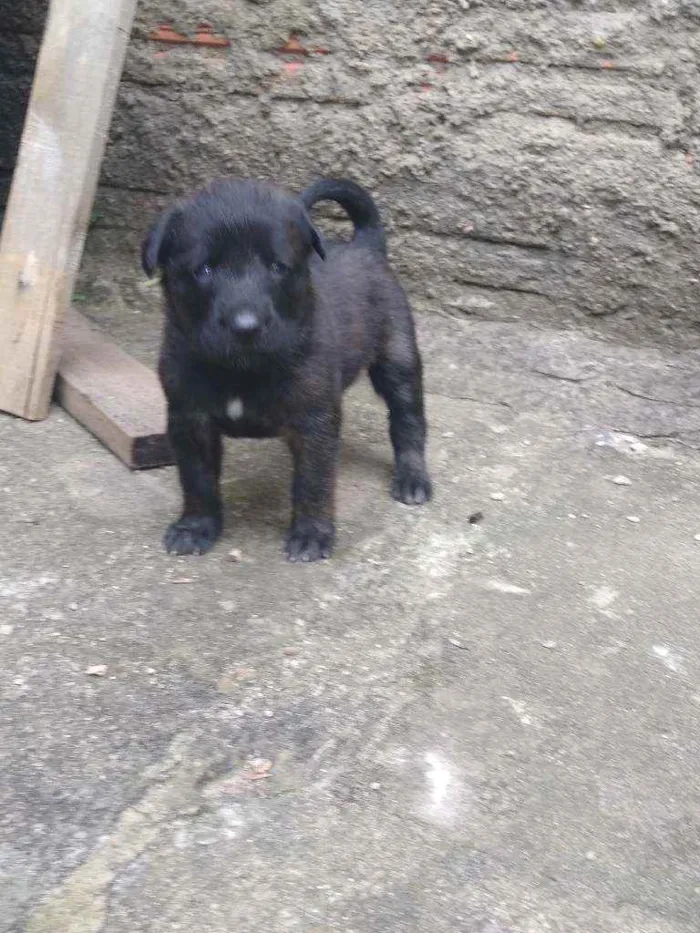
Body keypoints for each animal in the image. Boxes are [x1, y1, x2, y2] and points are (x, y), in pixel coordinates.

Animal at [141, 176, 432, 560]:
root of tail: (366, 245)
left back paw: (413, 478)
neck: (241, 370)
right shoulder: (189, 417)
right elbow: (196, 478)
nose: (246, 326)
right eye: (204, 270)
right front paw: (196, 526)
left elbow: (313, 480)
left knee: (408, 419)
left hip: (397, 359)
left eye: (277, 267)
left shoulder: (313, 421)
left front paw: (311, 534)